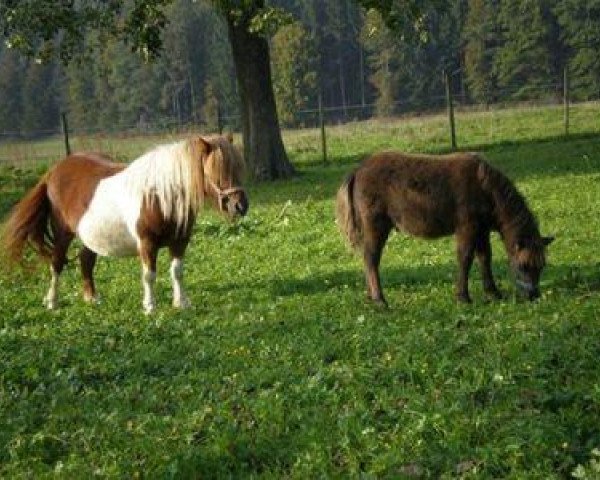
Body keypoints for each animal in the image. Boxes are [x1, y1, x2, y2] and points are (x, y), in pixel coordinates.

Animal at [1, 134, 247, 316]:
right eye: (217, 172)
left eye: (238, 168)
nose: (241, 206)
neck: (159, 195)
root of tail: (53, 171)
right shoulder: (147, 243)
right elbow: (149, 275)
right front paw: (150, 307)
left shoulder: (180, 241)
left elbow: (177, 272)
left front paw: (182, 303)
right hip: (63, 233)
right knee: (57, 263)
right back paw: (52, 302)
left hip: (91, 236)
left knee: (86, 261)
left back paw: (92, 298)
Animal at [336, 152, 556, 306]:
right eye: (524, 265)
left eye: (542, 265)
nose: (533, 295)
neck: (486, 188)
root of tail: (358, 170)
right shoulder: (467, 227)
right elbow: (465, 258)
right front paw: (463, 297)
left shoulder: (482, 230)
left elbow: (485, 257)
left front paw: (493, 292)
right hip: (376, 226)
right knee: (371, 259)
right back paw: (380, 300)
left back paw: (371, 297)